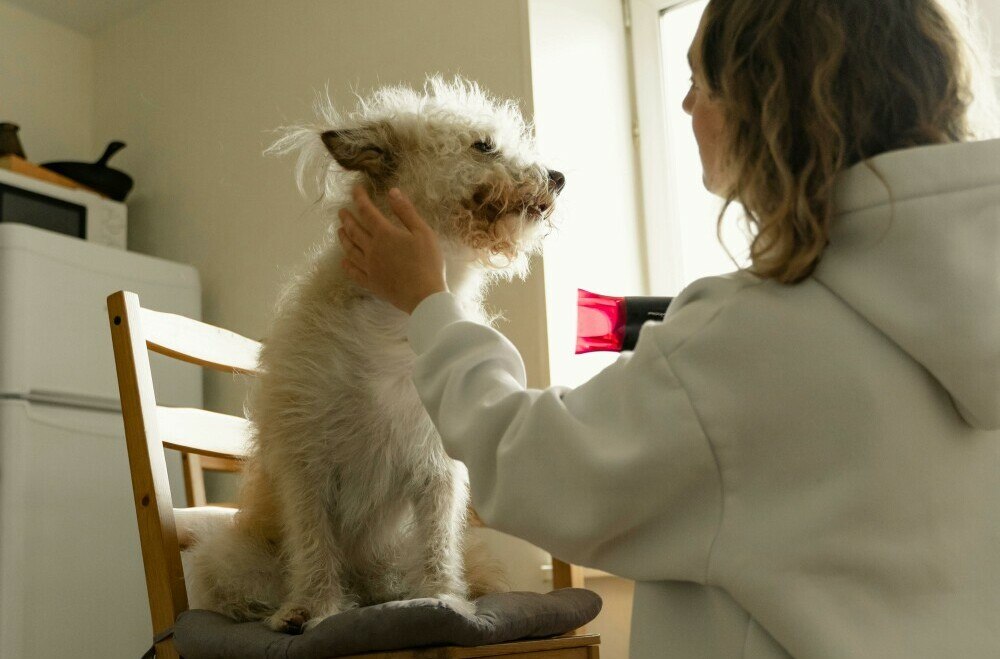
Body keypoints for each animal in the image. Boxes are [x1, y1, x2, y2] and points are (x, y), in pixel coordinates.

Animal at [188, 77, 564, 636]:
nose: (559, 177)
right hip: (229, 559)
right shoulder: (306, 462)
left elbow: (438, 546)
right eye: (483, 146)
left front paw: (443, 599)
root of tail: (367, 587)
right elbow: (314, 542)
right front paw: (312, 607)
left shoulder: (437, 469)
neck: (396, 318)